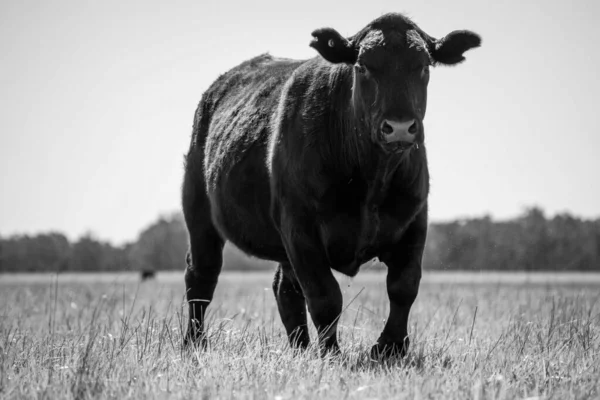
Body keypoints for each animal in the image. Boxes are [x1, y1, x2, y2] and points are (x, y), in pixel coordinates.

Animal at [180, 12, 480, 358]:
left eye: (423, 66)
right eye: (363, 66)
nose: (399, 127)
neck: (372, 180)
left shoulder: (415, 220)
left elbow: (404, 286)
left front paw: (390, 347)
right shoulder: (300, 228)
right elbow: (325, 295)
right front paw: (331, 353)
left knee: (285, 290)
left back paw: (299, 347)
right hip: (199, 214)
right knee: (201, 277)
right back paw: (194, 342)